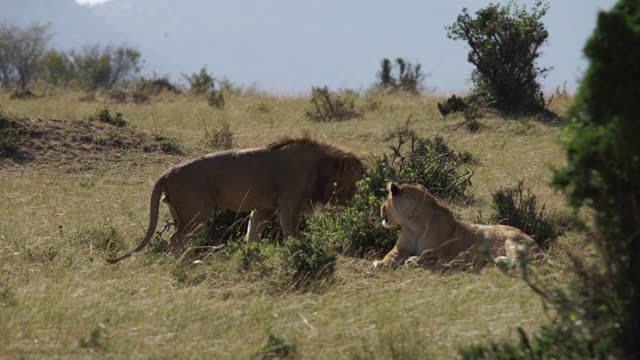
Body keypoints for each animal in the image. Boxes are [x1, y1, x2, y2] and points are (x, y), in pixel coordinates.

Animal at [107, 136, 362, 262]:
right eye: (359, 177)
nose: (361, 197)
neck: (321, 167)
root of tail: (169, 171)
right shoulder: (290, 204)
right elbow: (292, 233)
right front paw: (300, 252)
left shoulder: (264, 208)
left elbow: (252, 234)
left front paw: (250, 256)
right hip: (198, 213)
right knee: (174, 241)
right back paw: (185, 265)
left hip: (182, 214)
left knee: (176, 239)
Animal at [372, 183, 544, 270]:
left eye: (386, 198)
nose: (380, 208)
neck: (412, 226)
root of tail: (539, 247)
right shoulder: (401, 248)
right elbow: (390, 255)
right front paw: (380, 263)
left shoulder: (440, 250)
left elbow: (427, 256)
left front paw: (412, 260)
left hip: (512, 240)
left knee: (520, 262)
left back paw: (499, 260)